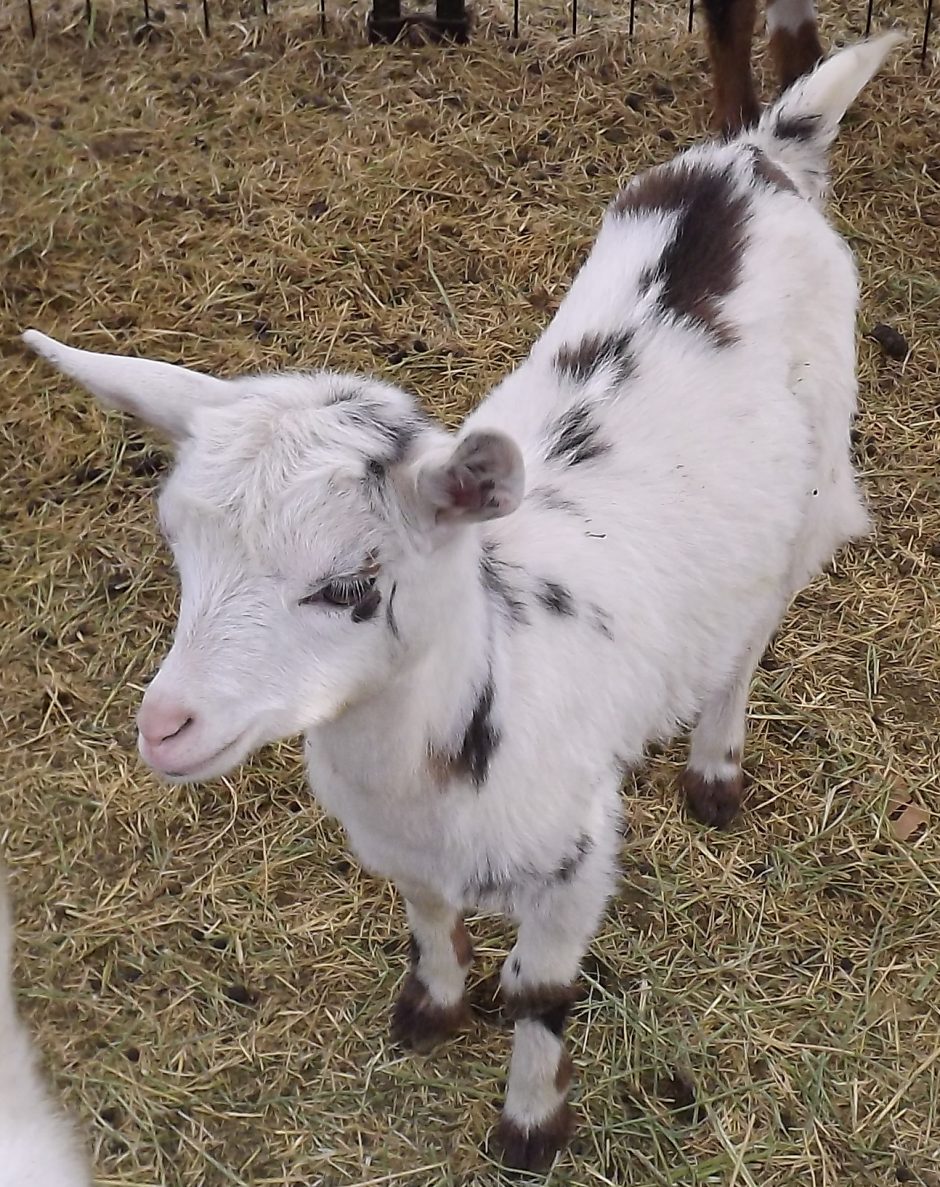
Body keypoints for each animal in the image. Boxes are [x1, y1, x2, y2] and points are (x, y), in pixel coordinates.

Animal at [23, 34, 899, 1172]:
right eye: (177, 546)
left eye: (351, 583)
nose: (165, 726)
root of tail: (758, 156)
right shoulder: (402, 846)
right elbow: (427, 911)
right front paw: (431, 1009)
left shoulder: (574, 857)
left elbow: (542, 992)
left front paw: (530, 1126)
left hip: (816, 480)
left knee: (751, 630)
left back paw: (715, 769)